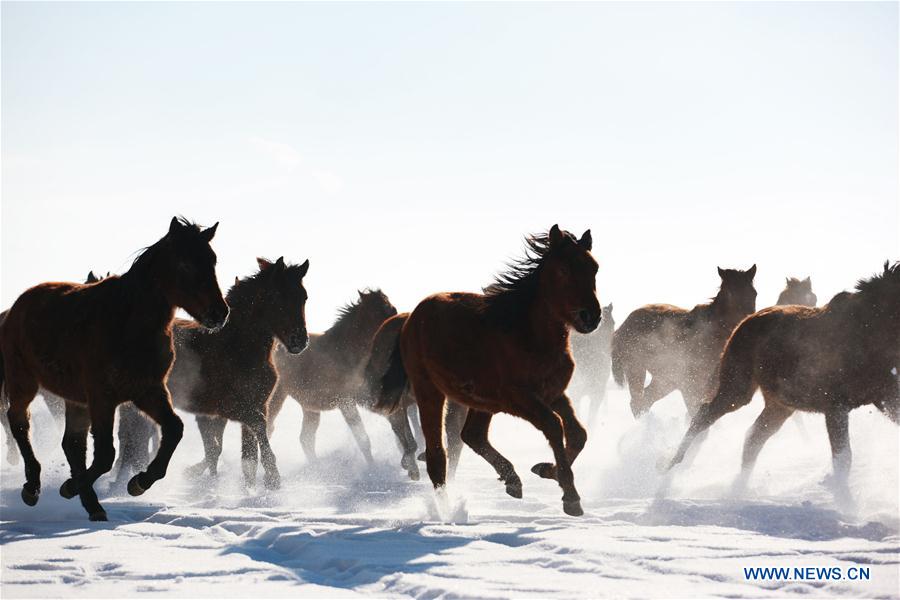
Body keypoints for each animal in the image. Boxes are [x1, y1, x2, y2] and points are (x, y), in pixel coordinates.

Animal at [0, 217, 228, 520]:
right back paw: (33, 488)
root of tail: (18, 306)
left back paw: (93, 506)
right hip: (23, 381)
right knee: (19, 422)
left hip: (74, 399)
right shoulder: (103, 397)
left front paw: (138, 482)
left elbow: (173, 430)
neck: (128, 324)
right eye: (184, 264)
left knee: (72, 445)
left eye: (212, 260)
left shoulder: (148, 391)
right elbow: (107, 454)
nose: (219, 313)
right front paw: (69, 487)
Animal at [266, 289, 397, 466]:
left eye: (390, 306)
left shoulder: (364, 397)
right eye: (378, 309)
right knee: (269, 428)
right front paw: (373, 468)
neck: (344, 353)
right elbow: (363, 439)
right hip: (278, 397)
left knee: (305, 439)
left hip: (310, 407)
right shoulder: (346, 402)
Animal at [371, 225, 601, 516]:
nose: (590, 316)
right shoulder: (518, 398)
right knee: (438, 455)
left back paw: (512, 480)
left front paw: (546, 470)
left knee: (472, 435)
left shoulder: (553, 394)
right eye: (563, 270)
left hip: (481, 402)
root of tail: (409, 317)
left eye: (594, 268)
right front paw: (570, 497)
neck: (528, 335)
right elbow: (553, 425)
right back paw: (447, 511)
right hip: (430, 392)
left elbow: (578, 434)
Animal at [611, 265, 757, 418]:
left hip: (665, 380)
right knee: (637, 402)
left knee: (645, 400)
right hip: (637, 369)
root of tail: (623, 326)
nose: (746, 324)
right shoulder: (691, 390)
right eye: (728, 293)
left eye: (754, 293)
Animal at [669, 261, 900, 500]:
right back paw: (670, 469)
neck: (866, 333)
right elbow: (843, 458)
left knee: (753, 437)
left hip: (779, 405)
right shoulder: (836, 405)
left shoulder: (885, 396)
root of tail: (741, 324)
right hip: (738, 389)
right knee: (704, 416)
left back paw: (738, 488)